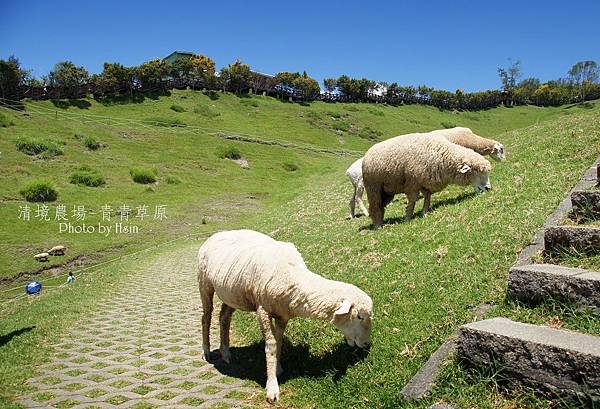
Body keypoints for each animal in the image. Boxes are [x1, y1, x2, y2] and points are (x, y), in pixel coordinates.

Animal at [199, 230, 372, 402]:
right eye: (360, 316)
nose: (367, 344)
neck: (296, 280)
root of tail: (216, 234)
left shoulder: (282, 316)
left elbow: (279, 342)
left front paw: (277, 368)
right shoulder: (263, 310)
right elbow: (271, 345)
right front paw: (272, 387)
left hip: (232, 294)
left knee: (224, 318)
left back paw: (226, 353)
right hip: (204, 283)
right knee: (206, 318)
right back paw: (207, 352)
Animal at [360, 134, 492, 230]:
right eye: (477, 171)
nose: (488, 188)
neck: (440, 155)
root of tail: (367, 153)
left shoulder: (424, 181)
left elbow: (427, 196)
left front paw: (425, 212)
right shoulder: (412, 183)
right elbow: (412, 201)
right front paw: (407, 218)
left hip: (387, 191)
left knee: (380, 206)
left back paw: (381, 222)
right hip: (373, 186)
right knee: (375, 205)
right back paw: (378, 226)